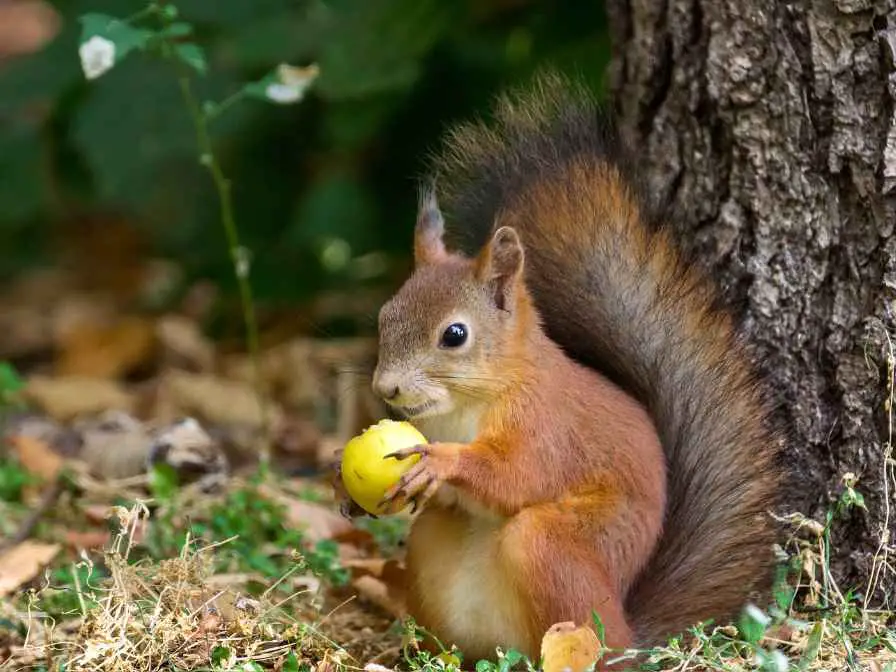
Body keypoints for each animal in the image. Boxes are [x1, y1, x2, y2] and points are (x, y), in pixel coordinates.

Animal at [332, 72, 780, 668]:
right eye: (385, 316)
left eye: (455, 335)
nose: (387, 388)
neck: (470, 403)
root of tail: (632, 638)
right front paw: (343, 484)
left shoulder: (546, 425)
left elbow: (517, 475)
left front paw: (444, 462)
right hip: (434, 548)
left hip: (554, 550)